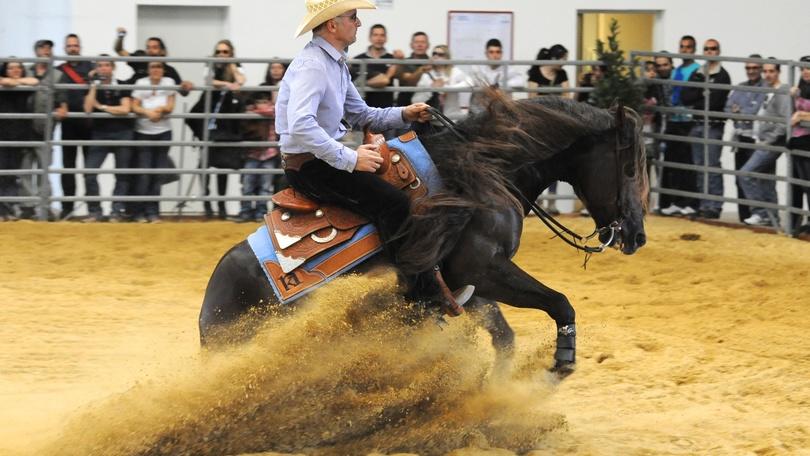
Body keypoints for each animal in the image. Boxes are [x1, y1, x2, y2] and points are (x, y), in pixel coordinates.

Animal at [199, 93, 648, 377]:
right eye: (629, 168)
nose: (637, 235)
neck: (481, 175)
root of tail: (210, 306)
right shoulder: (484, 268)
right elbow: (560, 303)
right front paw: (561, 362)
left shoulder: (467, 286)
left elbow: (504, 338)